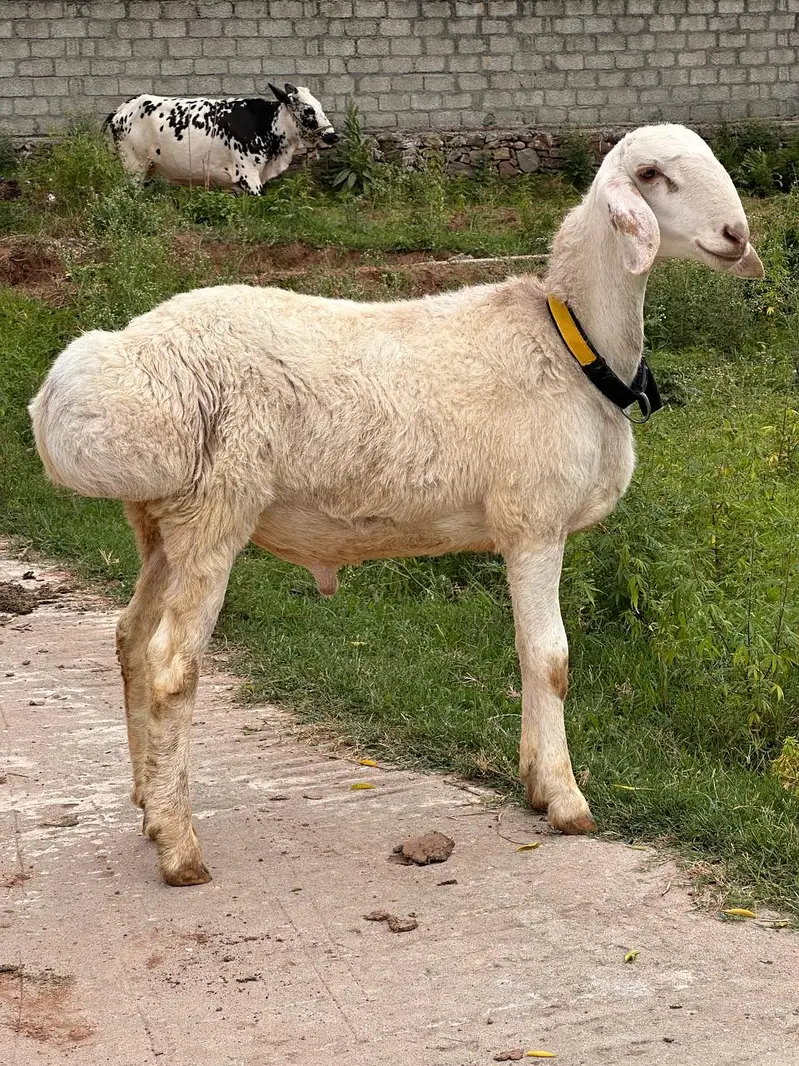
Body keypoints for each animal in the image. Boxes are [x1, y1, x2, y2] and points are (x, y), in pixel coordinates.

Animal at [29, 124, 764, 887]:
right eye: (650, 175)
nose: (736, 236)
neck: (570, 343)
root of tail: (111, 363)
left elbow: (527, 655)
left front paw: (535, 782)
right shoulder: (533, 523)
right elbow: (550, 657)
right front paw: (565, 801)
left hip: (161, 520)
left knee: (130, 638)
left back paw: (149, 803)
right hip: (215, 512)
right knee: (173, 663)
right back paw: (180, 848)